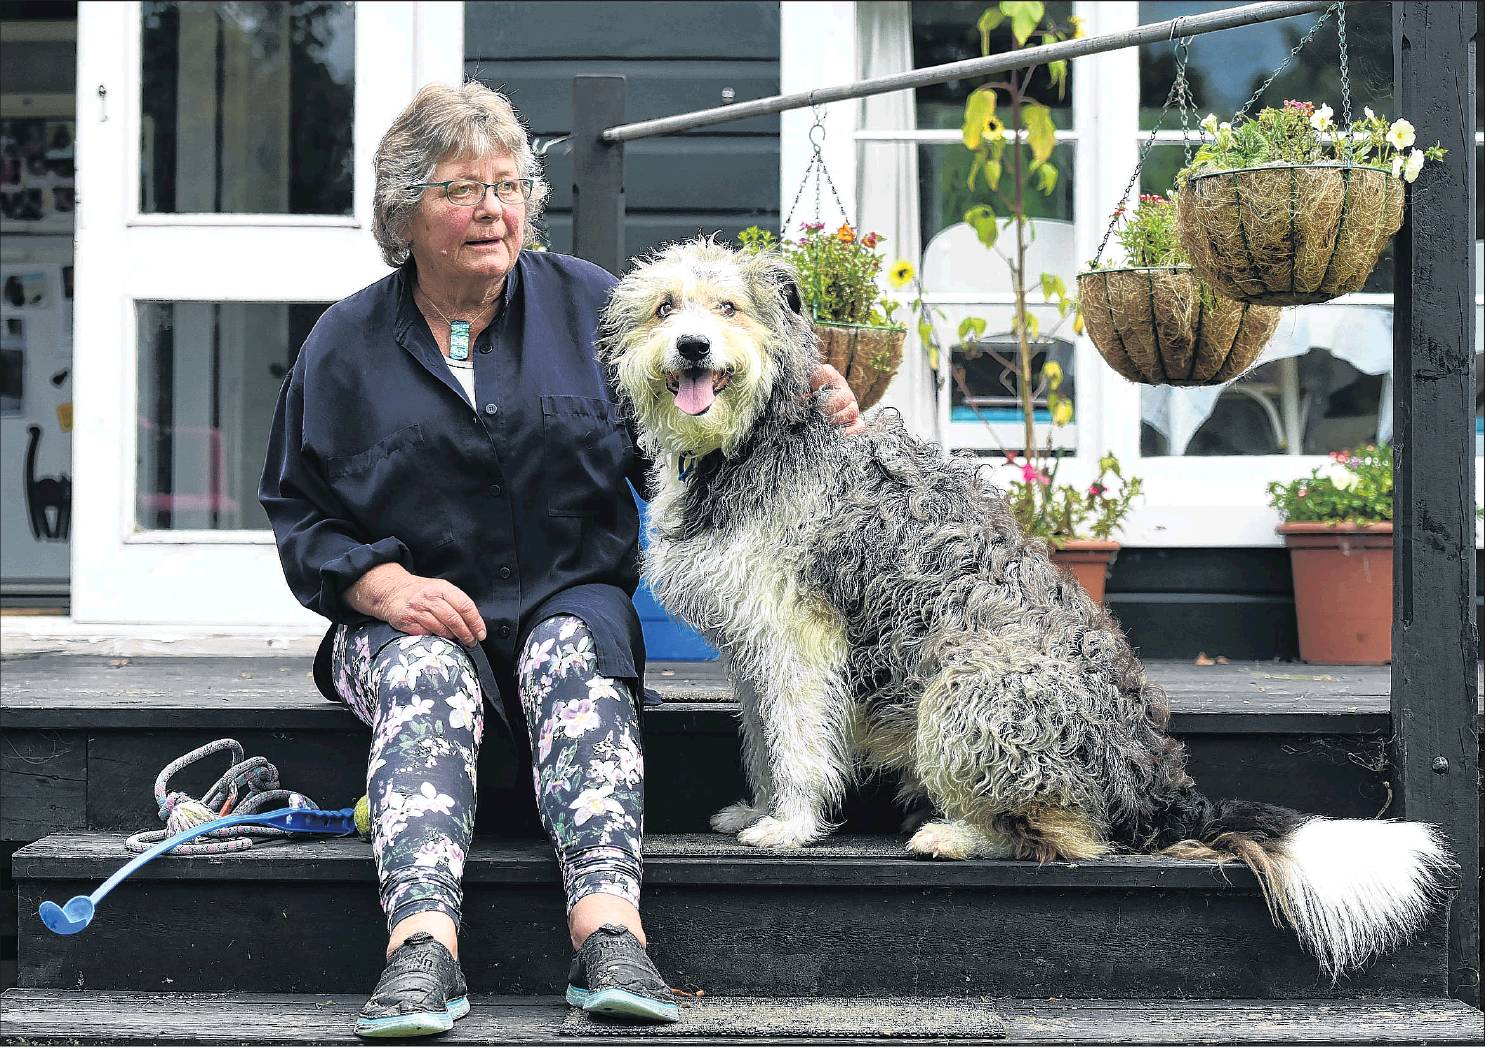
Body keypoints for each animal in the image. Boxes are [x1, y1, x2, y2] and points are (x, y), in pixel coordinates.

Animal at [600, 234, 1450, 975]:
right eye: (666, 306)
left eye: (729, 307)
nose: (692, 347)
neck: (754, 439)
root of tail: (1157, 787)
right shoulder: (754, 650)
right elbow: (762, 740)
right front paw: (757, 810)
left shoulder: (799, 640)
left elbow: (801, 746)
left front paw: (792, 825)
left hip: (967, 689)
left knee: (1068, 838)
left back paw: (955, 837)